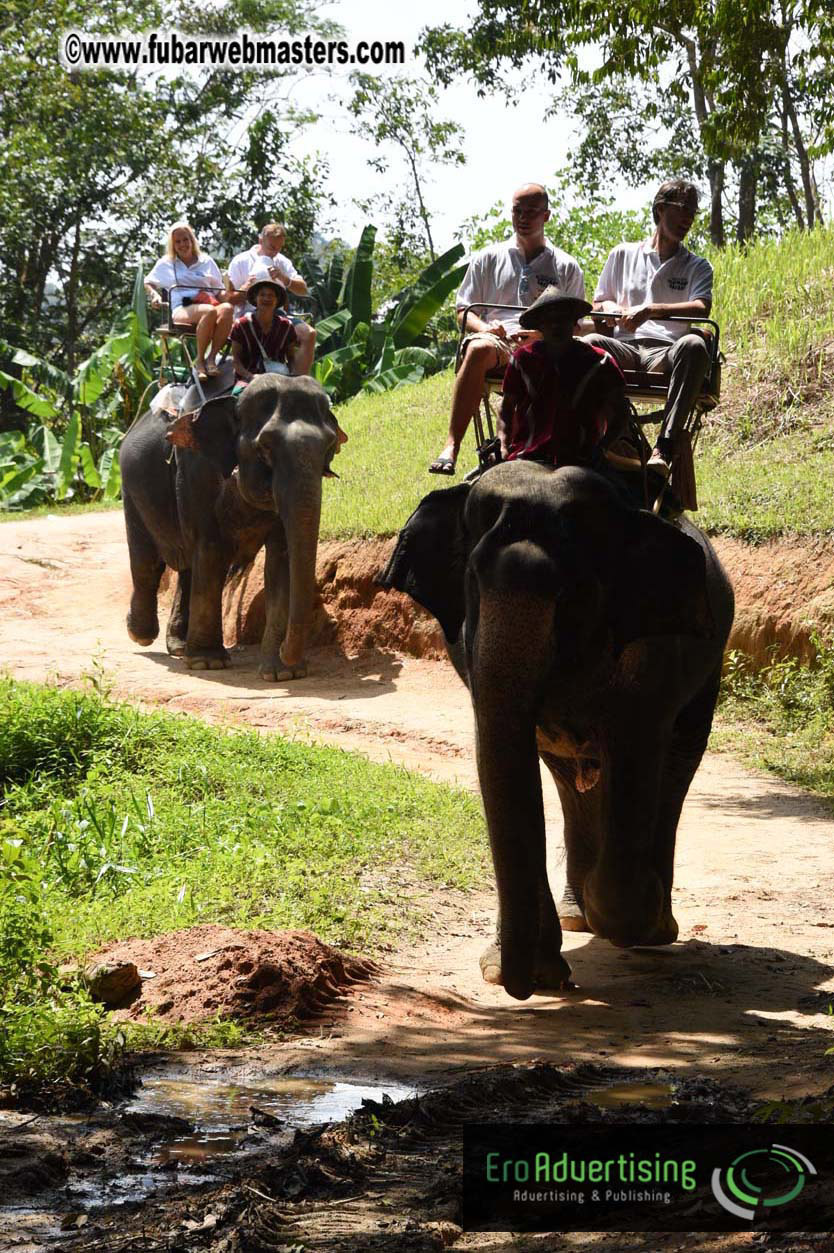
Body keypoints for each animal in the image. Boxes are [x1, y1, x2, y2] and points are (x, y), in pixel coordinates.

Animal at [119, 371, 345, 680]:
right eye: (265, 448)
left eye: (329, 447)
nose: (287, 651)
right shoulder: (197, 470)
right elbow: (211, 549)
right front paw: (208, 663)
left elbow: (283, 557)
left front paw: (283, 673)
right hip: (132, 488)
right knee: (148, 562)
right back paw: (140, 634)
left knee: (186, 568)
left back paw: (178, 647)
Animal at [379, 461, 734, 1001]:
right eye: (472, 582)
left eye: (570, 593)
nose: (523, 986)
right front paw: (531, 971)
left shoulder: (652, 654)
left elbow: (636, 749)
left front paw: (625, 920)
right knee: (567, 777)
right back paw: (575, 917)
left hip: (708, 660)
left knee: (676, 764)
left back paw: (654, 925)